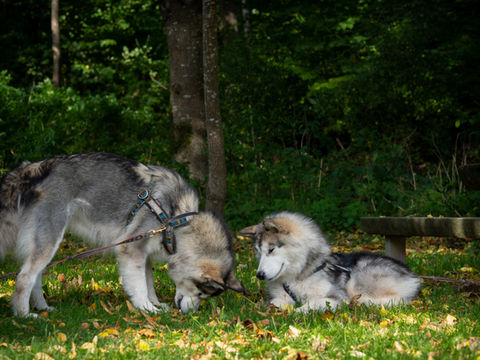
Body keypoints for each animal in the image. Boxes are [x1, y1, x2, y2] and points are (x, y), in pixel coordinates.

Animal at [0, 153, 242, 316]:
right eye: (201, 293)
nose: (190, 314)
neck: (176, 220)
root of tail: (34, 167)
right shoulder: (131, 249)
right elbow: (139, 286)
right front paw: (147, 309)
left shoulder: (145, 255)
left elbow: (149, 282)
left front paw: (155, 304)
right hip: (50, 240)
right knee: (24, 277)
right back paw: (25, 315)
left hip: (46, 242)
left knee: (35, 277)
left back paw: (43, 307)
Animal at [240, 211, 420, 312]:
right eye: (258, 252)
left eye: (271, 250)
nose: (259, 275)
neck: (298, 276)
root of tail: (411, 274)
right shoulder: (282, 296)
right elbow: (274, 302)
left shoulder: (335, 296)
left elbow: (314, 303)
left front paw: (298, 311)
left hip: (357, 278)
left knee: (399, 300)